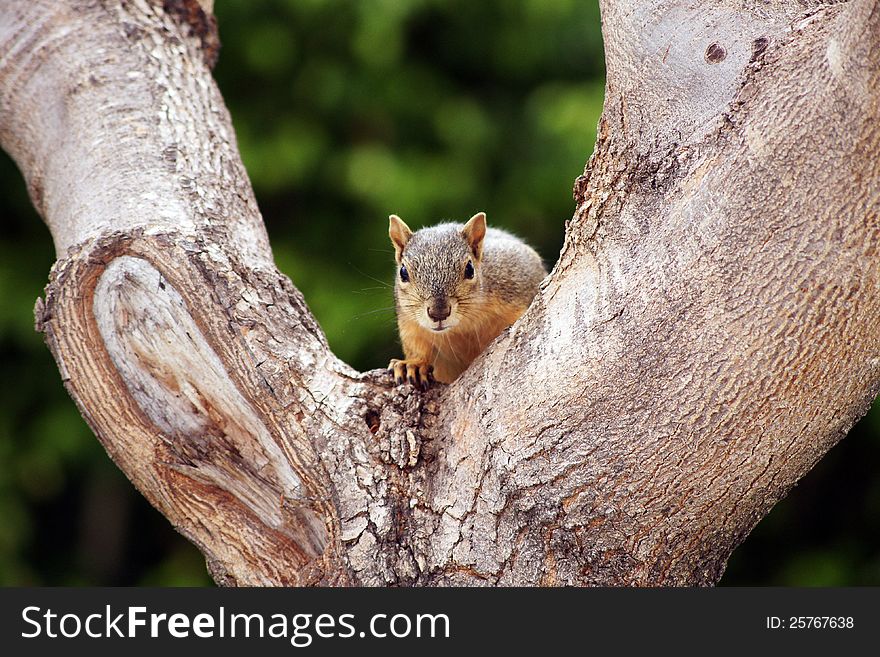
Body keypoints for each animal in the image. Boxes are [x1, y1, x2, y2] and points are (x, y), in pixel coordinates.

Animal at [384, 210, 544, 386]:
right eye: (403, 272)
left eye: (470, 269)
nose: (438, 313)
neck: (460, 327)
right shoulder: (410, 326)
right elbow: (417, 347)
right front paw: (413, 365)